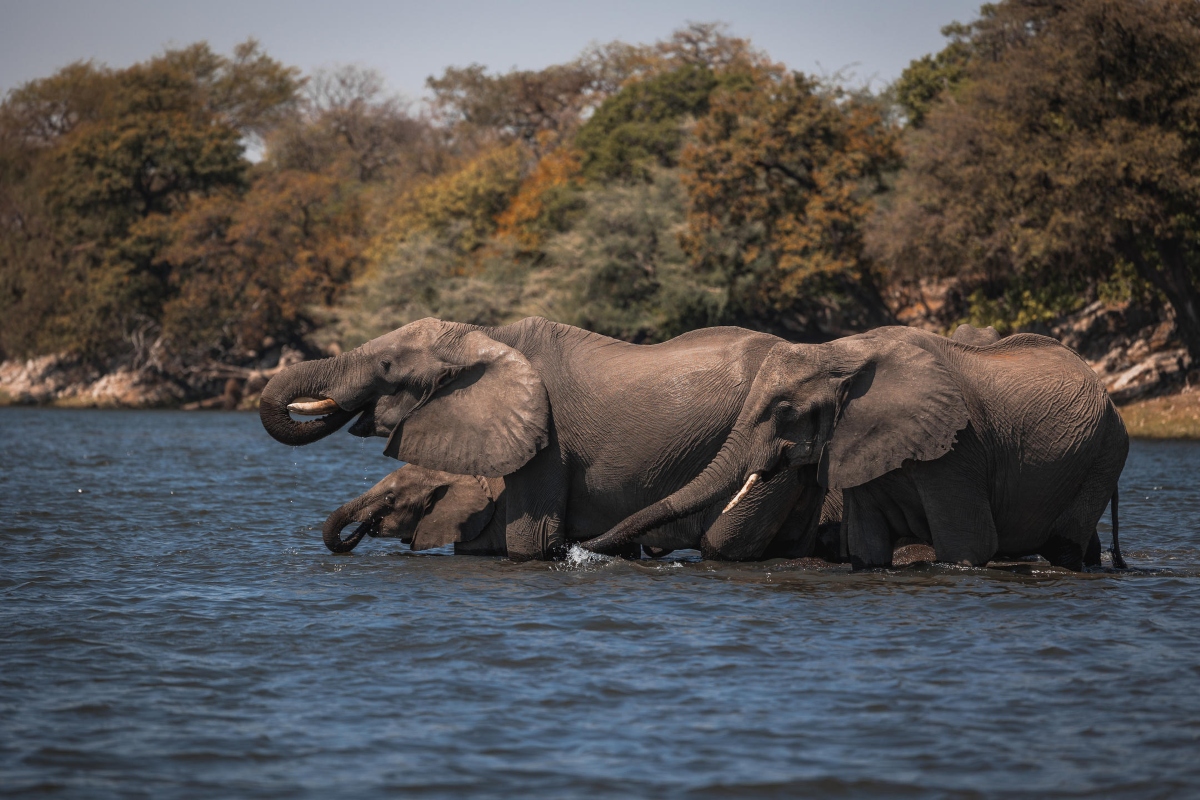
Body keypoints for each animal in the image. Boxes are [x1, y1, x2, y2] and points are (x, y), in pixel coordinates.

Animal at [581, 326, 1128, 571]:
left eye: (783, 410)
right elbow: (866, 549)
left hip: (1104, 453)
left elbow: (968, 547)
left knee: (1064, 545)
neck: (843, 352)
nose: (577, 550)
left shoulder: (959, 448)